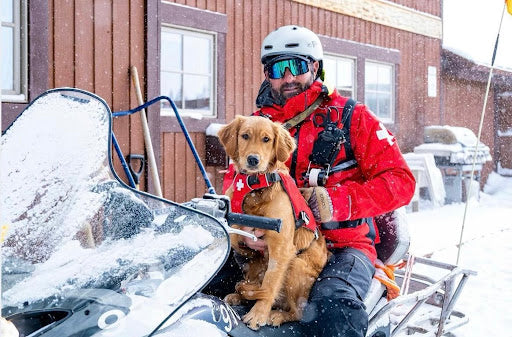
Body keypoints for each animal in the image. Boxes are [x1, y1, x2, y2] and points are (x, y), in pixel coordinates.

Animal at [216, 115, 328, 328]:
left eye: (266, 139)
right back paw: (239, 295)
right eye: (245, 136)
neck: (254, 185)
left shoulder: (281, 247)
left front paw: (258, 314)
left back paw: (275, 315)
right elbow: (234, 236)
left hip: (296, 266)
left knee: (298, 312)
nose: (253, 159)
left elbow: (270, 282)